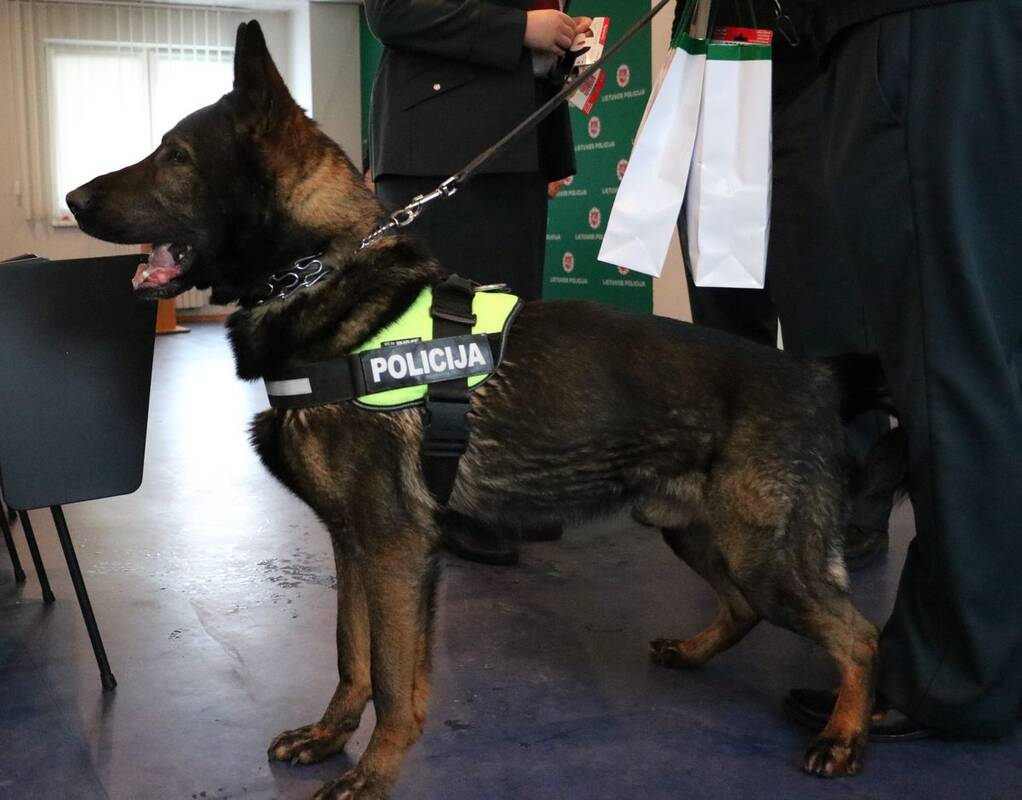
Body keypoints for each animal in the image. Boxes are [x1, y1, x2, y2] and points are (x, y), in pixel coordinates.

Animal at [68, 21, 906, 799]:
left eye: (177, 157)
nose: (72, 199)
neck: (322, 273)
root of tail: (812, 377)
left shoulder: (395, 548)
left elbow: (393, 680)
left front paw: (372, 773)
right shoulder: (353, 544)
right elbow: (350, 655)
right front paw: (329, 735)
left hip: (762, 553)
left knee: (860, 634)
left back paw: (844, 734)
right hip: (699, 534)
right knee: (744, 609)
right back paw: (696, 653)